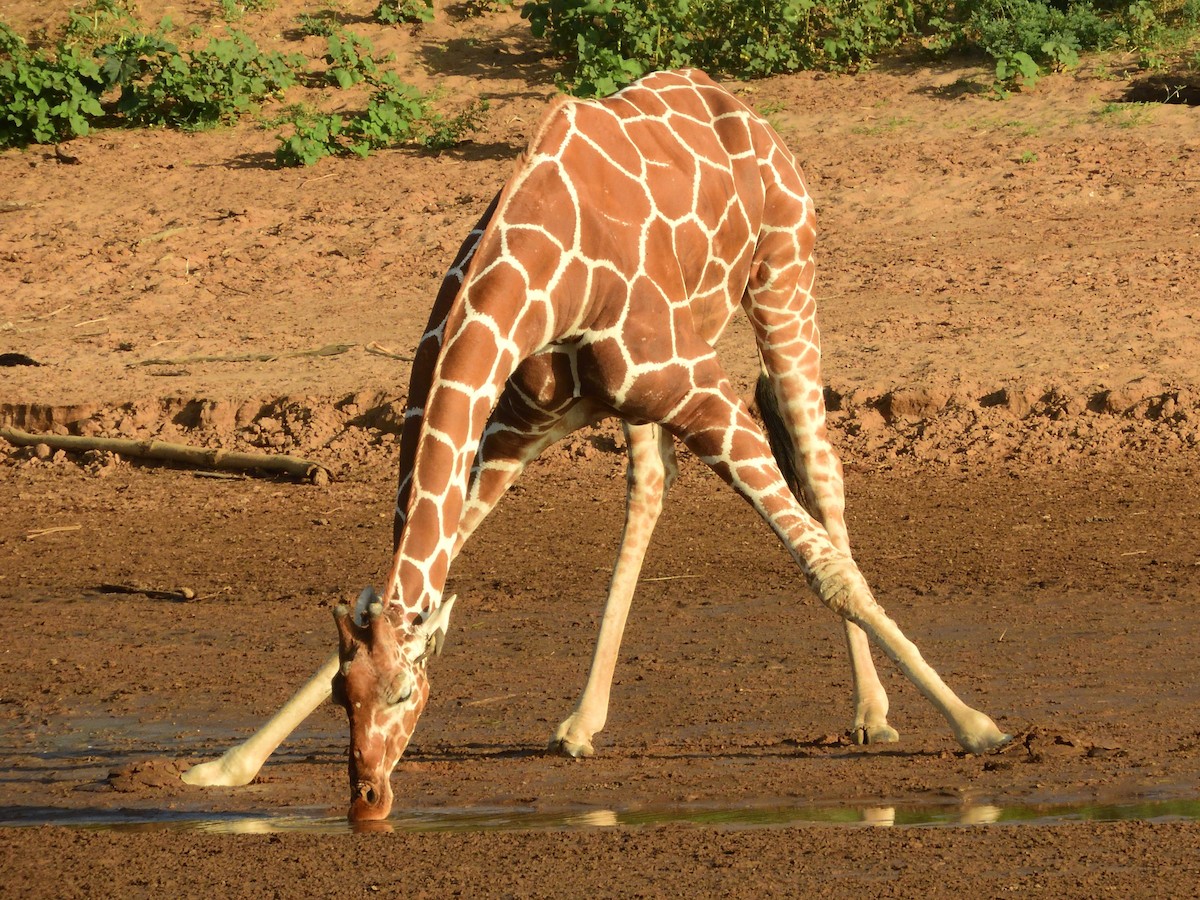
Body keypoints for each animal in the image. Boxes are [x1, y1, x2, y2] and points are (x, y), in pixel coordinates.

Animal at [182, 69, 1009, 821]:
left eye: (409, 690)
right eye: (341, 695)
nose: (368, 799)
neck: (531, 275)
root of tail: (744, 109)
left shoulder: (701, 391)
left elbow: (825, 568)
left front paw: (978, 726)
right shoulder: (520, 420)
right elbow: (442, 551)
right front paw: (228, 764)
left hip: (784, 284)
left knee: (820, 470)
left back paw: (873, 713)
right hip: (645, 387)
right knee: (651, 486)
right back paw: (583, 721)